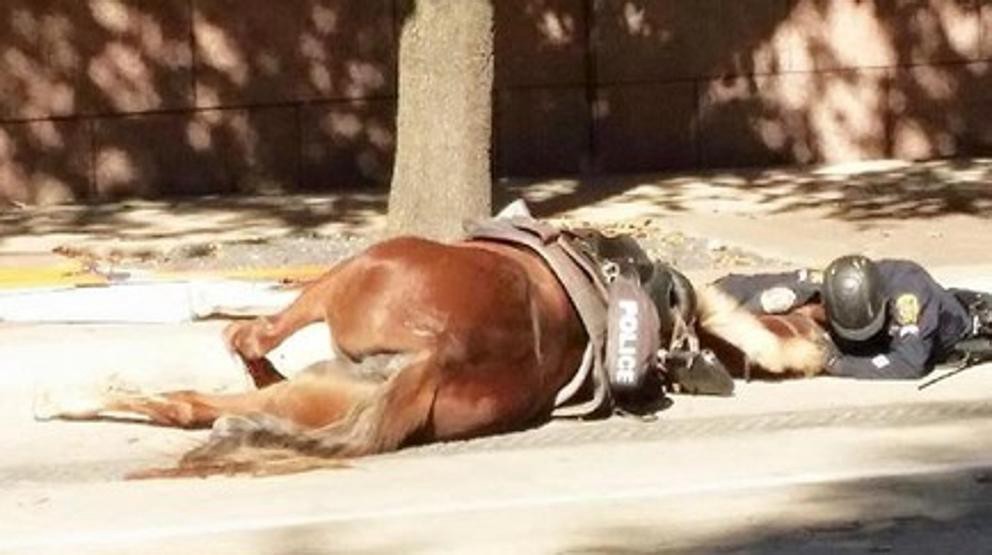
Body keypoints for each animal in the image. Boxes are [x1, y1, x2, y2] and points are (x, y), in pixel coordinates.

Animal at [34, 222, 828, 478]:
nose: (822, 342)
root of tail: (437, 356)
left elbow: (243, 327)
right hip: (320, 386)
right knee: (199, 404)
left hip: (348, 275)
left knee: (236, 352)